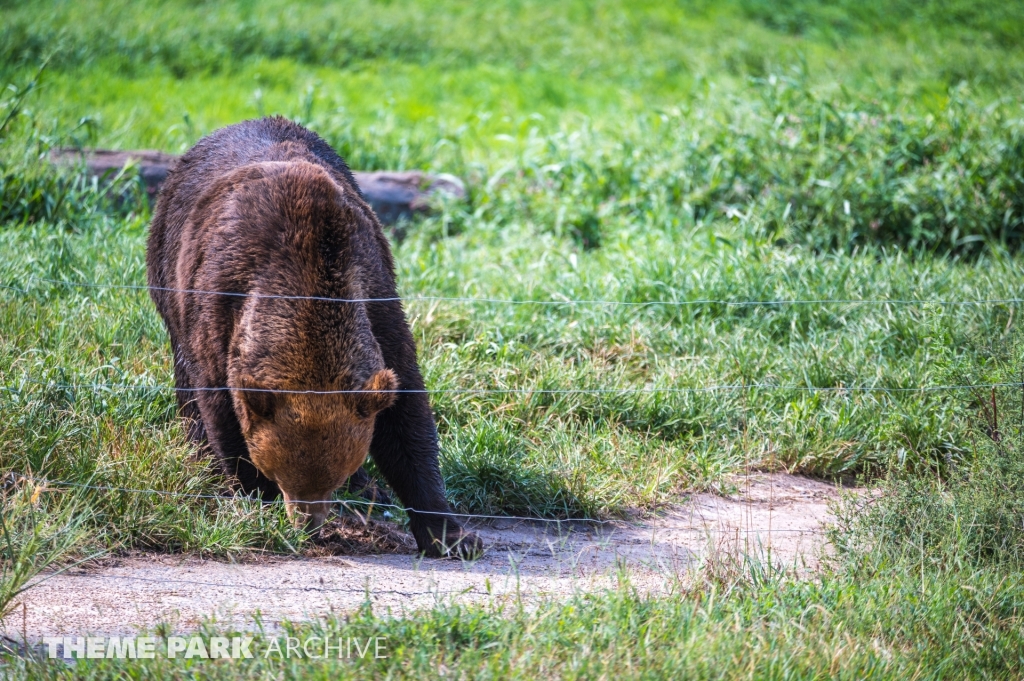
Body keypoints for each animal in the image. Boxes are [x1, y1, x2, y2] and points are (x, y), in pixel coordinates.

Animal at [146, 114, 481, 557]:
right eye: (284, 475)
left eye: (332, 477)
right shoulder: (220, 304)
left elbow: (407, 415)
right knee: (185, 377)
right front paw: (256, 499)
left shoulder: (375, 295)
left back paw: (370, 489)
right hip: (168, 265)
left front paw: (451, 535)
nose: (308, 523)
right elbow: (221, 410)